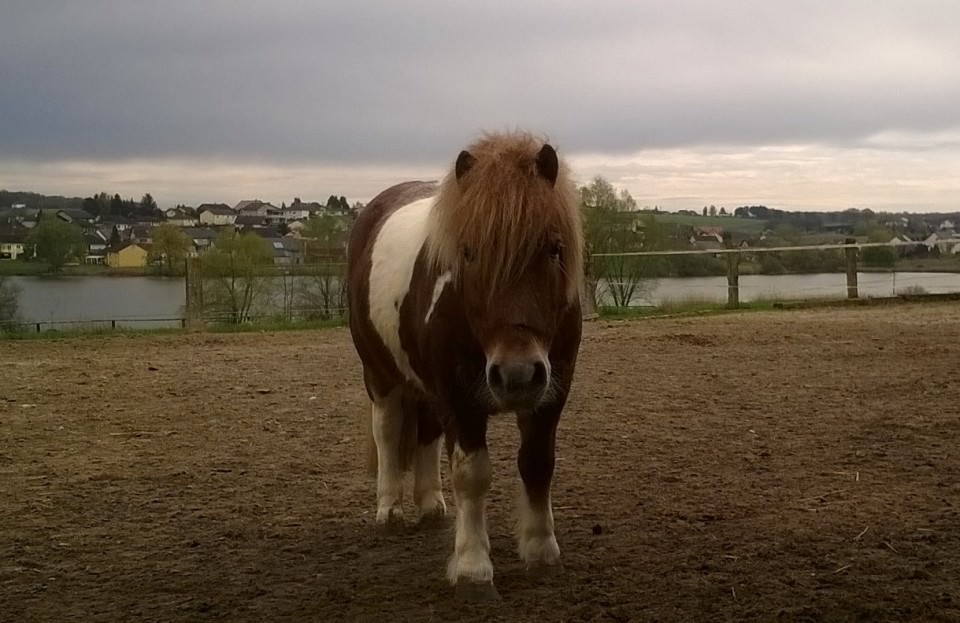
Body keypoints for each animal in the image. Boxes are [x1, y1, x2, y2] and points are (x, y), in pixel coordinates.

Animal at [344, 130, 584, 600]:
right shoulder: (460, 398)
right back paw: (390, 509)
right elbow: (472, 476)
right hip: (380, 375)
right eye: (469, 253)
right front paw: (473, 568)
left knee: (427, 435)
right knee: (388, 432)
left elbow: (538, 464)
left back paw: (430, 506)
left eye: (554, 249)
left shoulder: (551, 395)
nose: (516, 374)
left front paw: (541, 551)